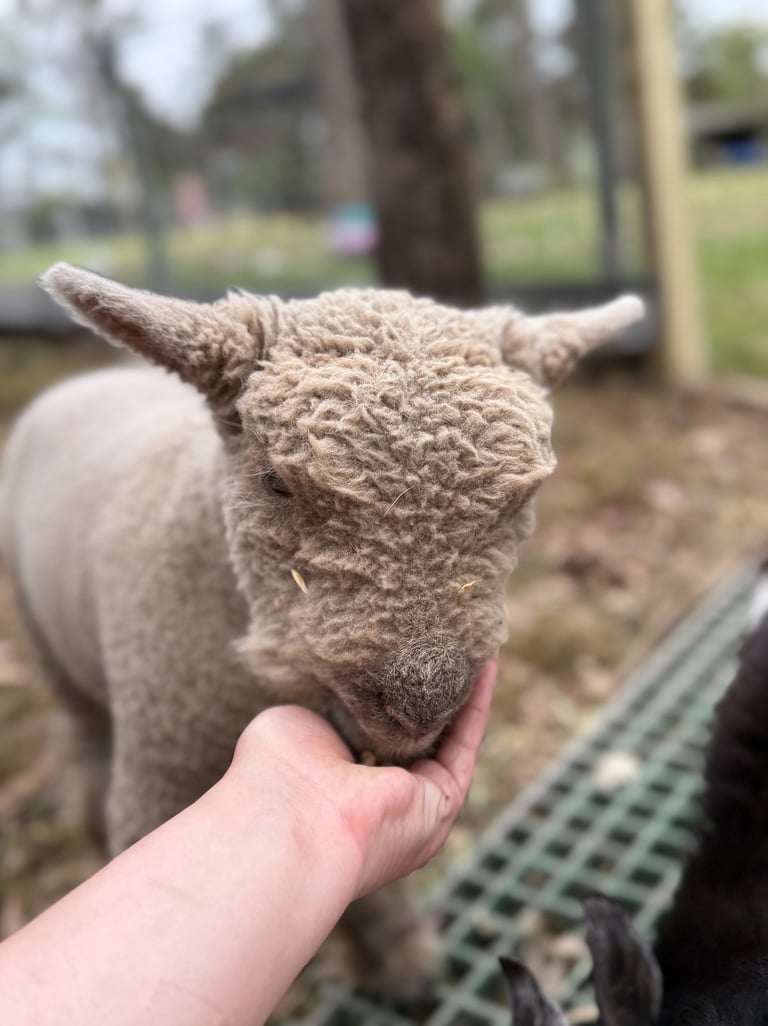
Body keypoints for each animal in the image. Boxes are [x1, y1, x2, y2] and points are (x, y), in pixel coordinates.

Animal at [0, 264, 643, 998]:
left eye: (523, 499)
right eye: (274, 481)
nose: (421, 699)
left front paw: (404, 967)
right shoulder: (158, 782)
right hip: (50, 644)